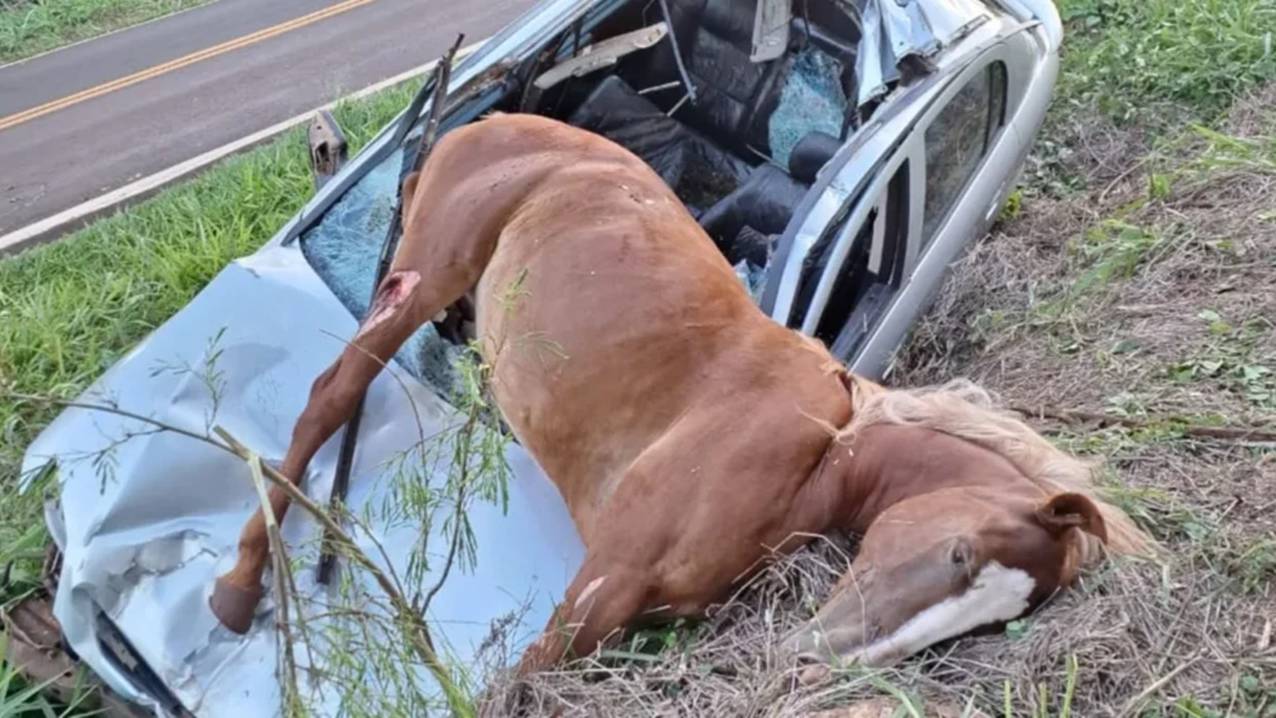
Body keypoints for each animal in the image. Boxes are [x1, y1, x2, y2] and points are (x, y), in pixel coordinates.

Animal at [211, 112, 1158, 673]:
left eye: (997, 620)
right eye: (960, 553)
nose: (826, 657)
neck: (816, 455)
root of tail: (492, 118)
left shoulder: (624, 609)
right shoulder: (602, 584)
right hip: (427, 271)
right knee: (331, 396)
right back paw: (239, 587)